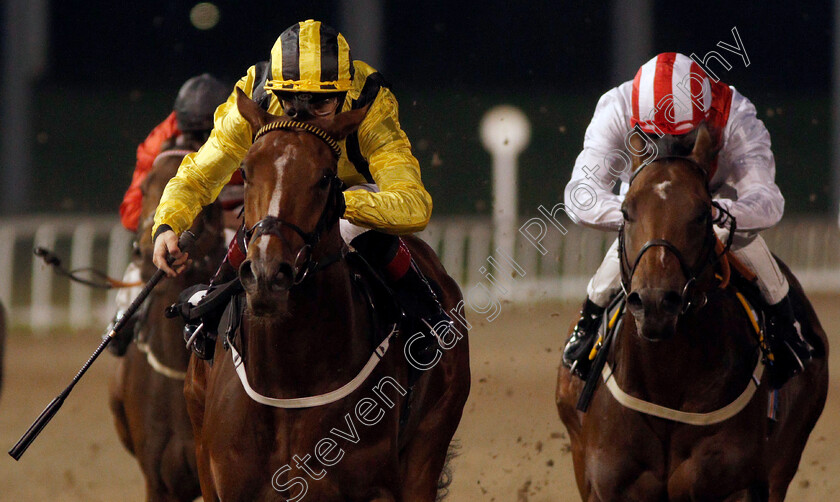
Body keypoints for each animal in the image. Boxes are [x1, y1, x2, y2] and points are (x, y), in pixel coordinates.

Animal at [556, 126, 828, 502]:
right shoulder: (604, 486)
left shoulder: (736, 487)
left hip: (784, 460)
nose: (655, 302)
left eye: (702, 214)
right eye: (625, 212)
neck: (666, 379)